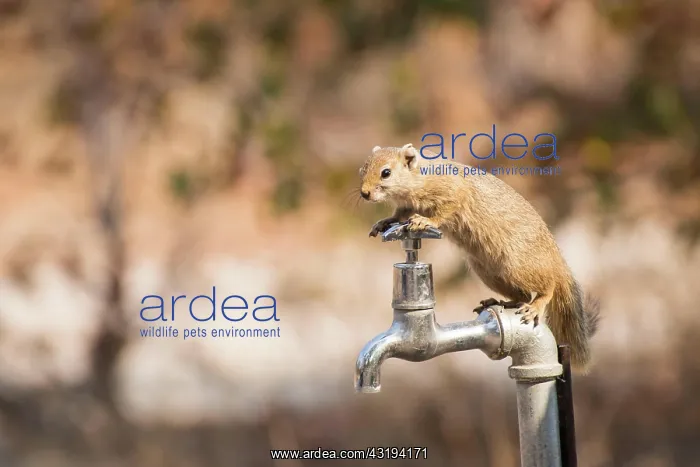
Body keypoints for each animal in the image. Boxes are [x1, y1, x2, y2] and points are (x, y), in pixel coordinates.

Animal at [359, 143, 600, 371]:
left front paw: (424, 221)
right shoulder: (406, 205)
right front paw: (383, 222)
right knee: (521, 294)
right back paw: (499, 301)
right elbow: (399, 215)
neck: (418, 178)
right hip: (489, 272)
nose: (364, 193)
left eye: (386, 172)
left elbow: (444, 211)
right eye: (363, 168)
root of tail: (556, 260)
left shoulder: (453, 190)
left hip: (519, 266)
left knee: (547, 286)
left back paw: (536, 304)